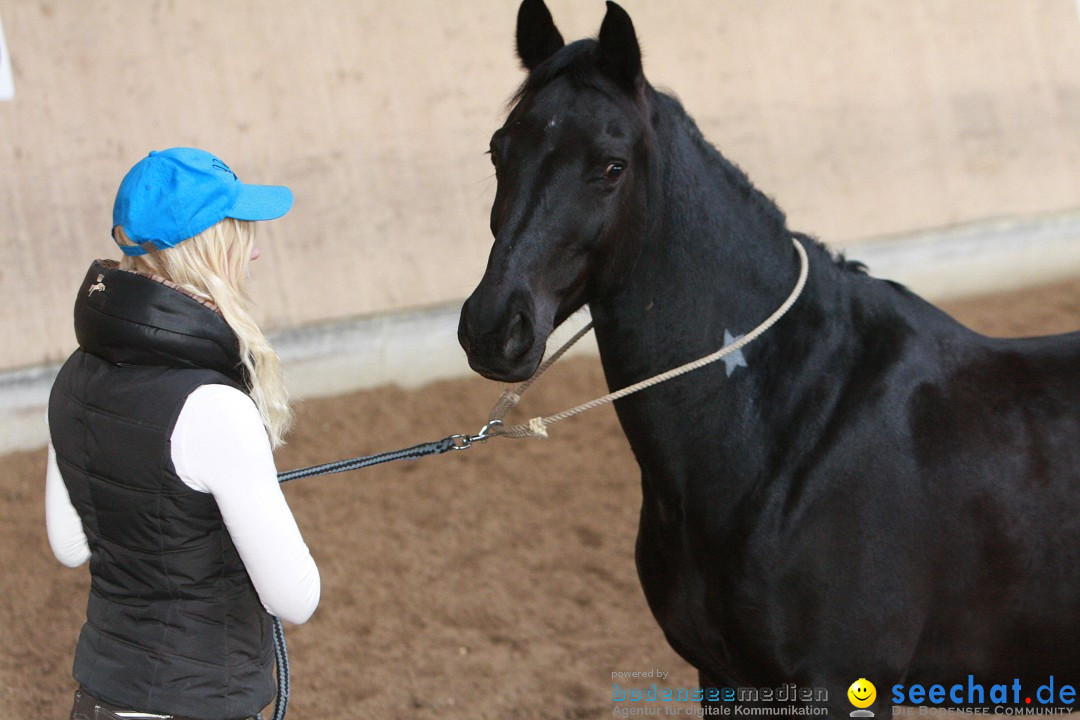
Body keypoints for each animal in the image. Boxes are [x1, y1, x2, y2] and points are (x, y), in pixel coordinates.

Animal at [457, 0, 1080, 708]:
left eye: (611, 165)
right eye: (499, 150)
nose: (493, 327)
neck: (792, 433)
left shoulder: (838, 686)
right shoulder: (724, 678)